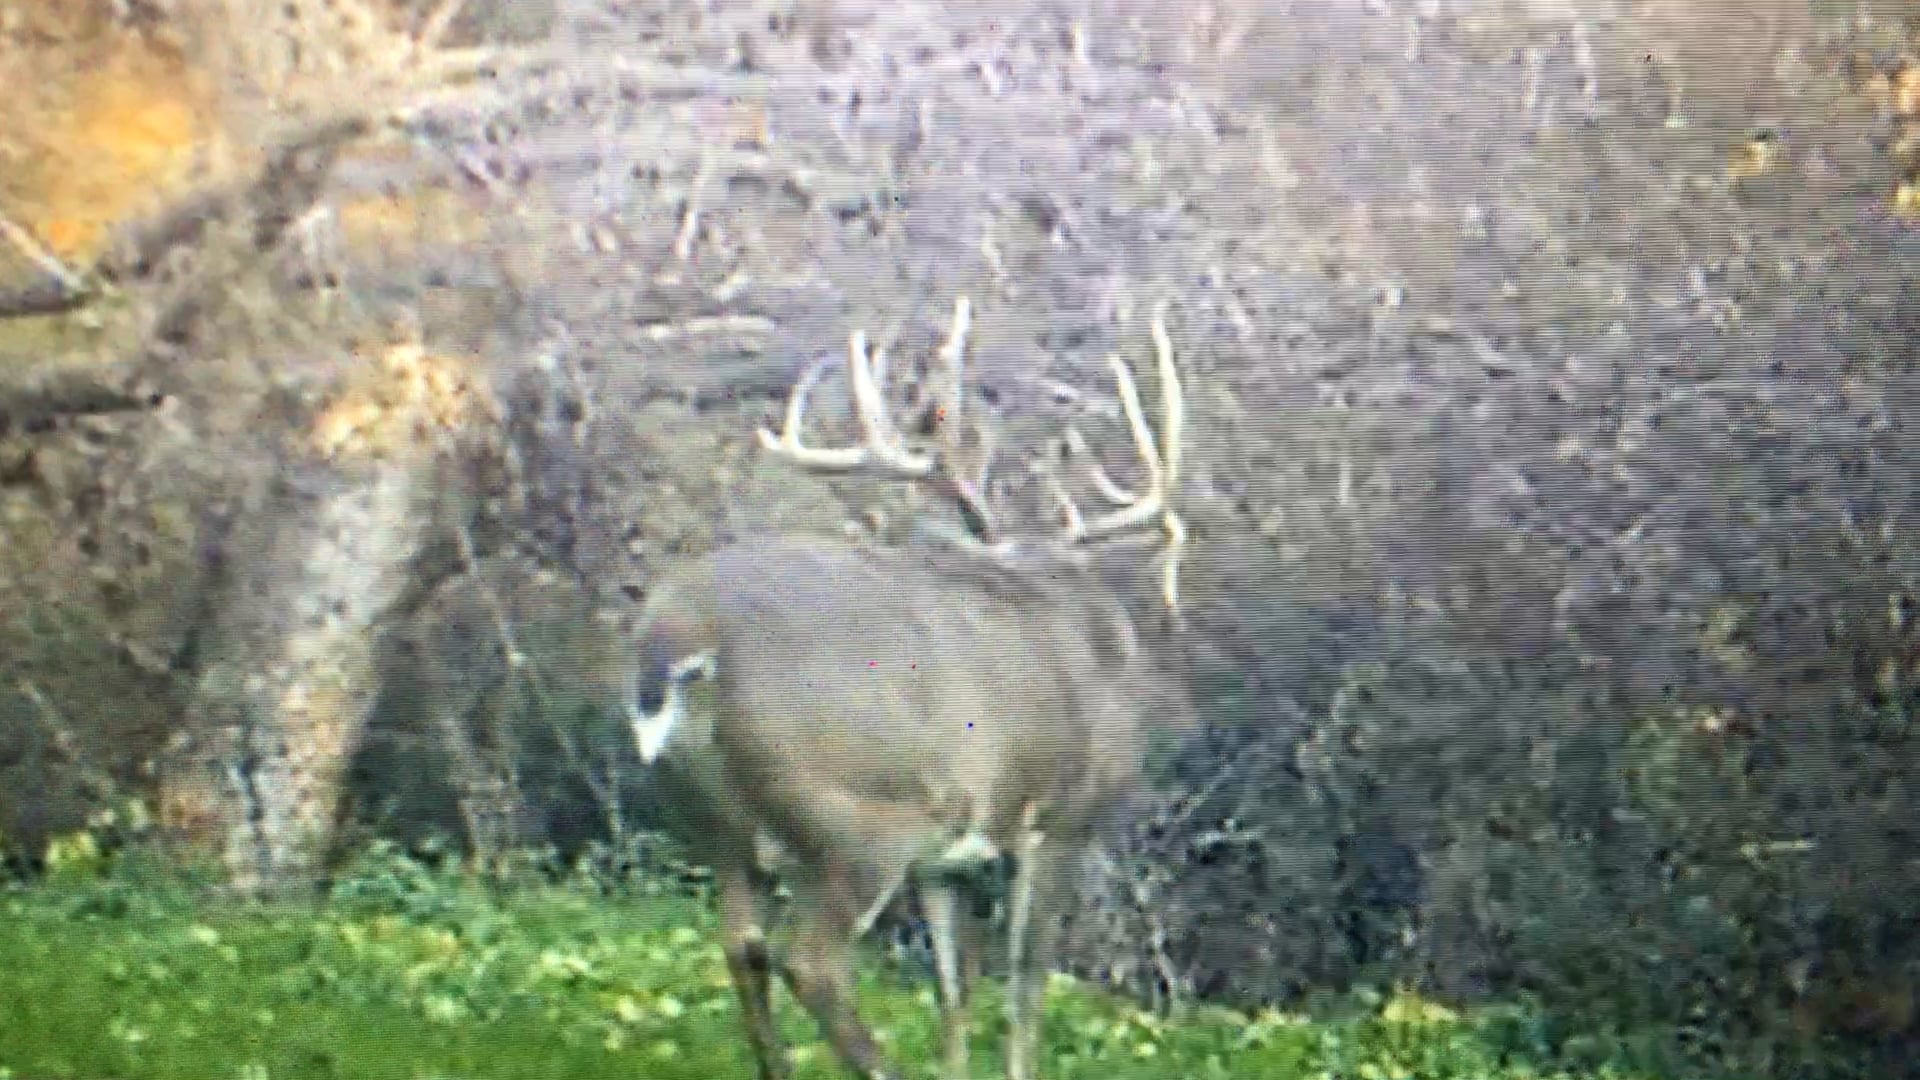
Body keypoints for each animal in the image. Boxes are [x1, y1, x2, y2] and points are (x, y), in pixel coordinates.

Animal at [614, 294, 1195, 1080]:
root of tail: (682, 637)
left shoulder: (946, 863)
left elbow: (954, 990)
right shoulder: (1061, 820)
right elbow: (1026, 981)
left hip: (711, 821)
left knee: (742, 947)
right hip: (857, 815)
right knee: (812, 961)